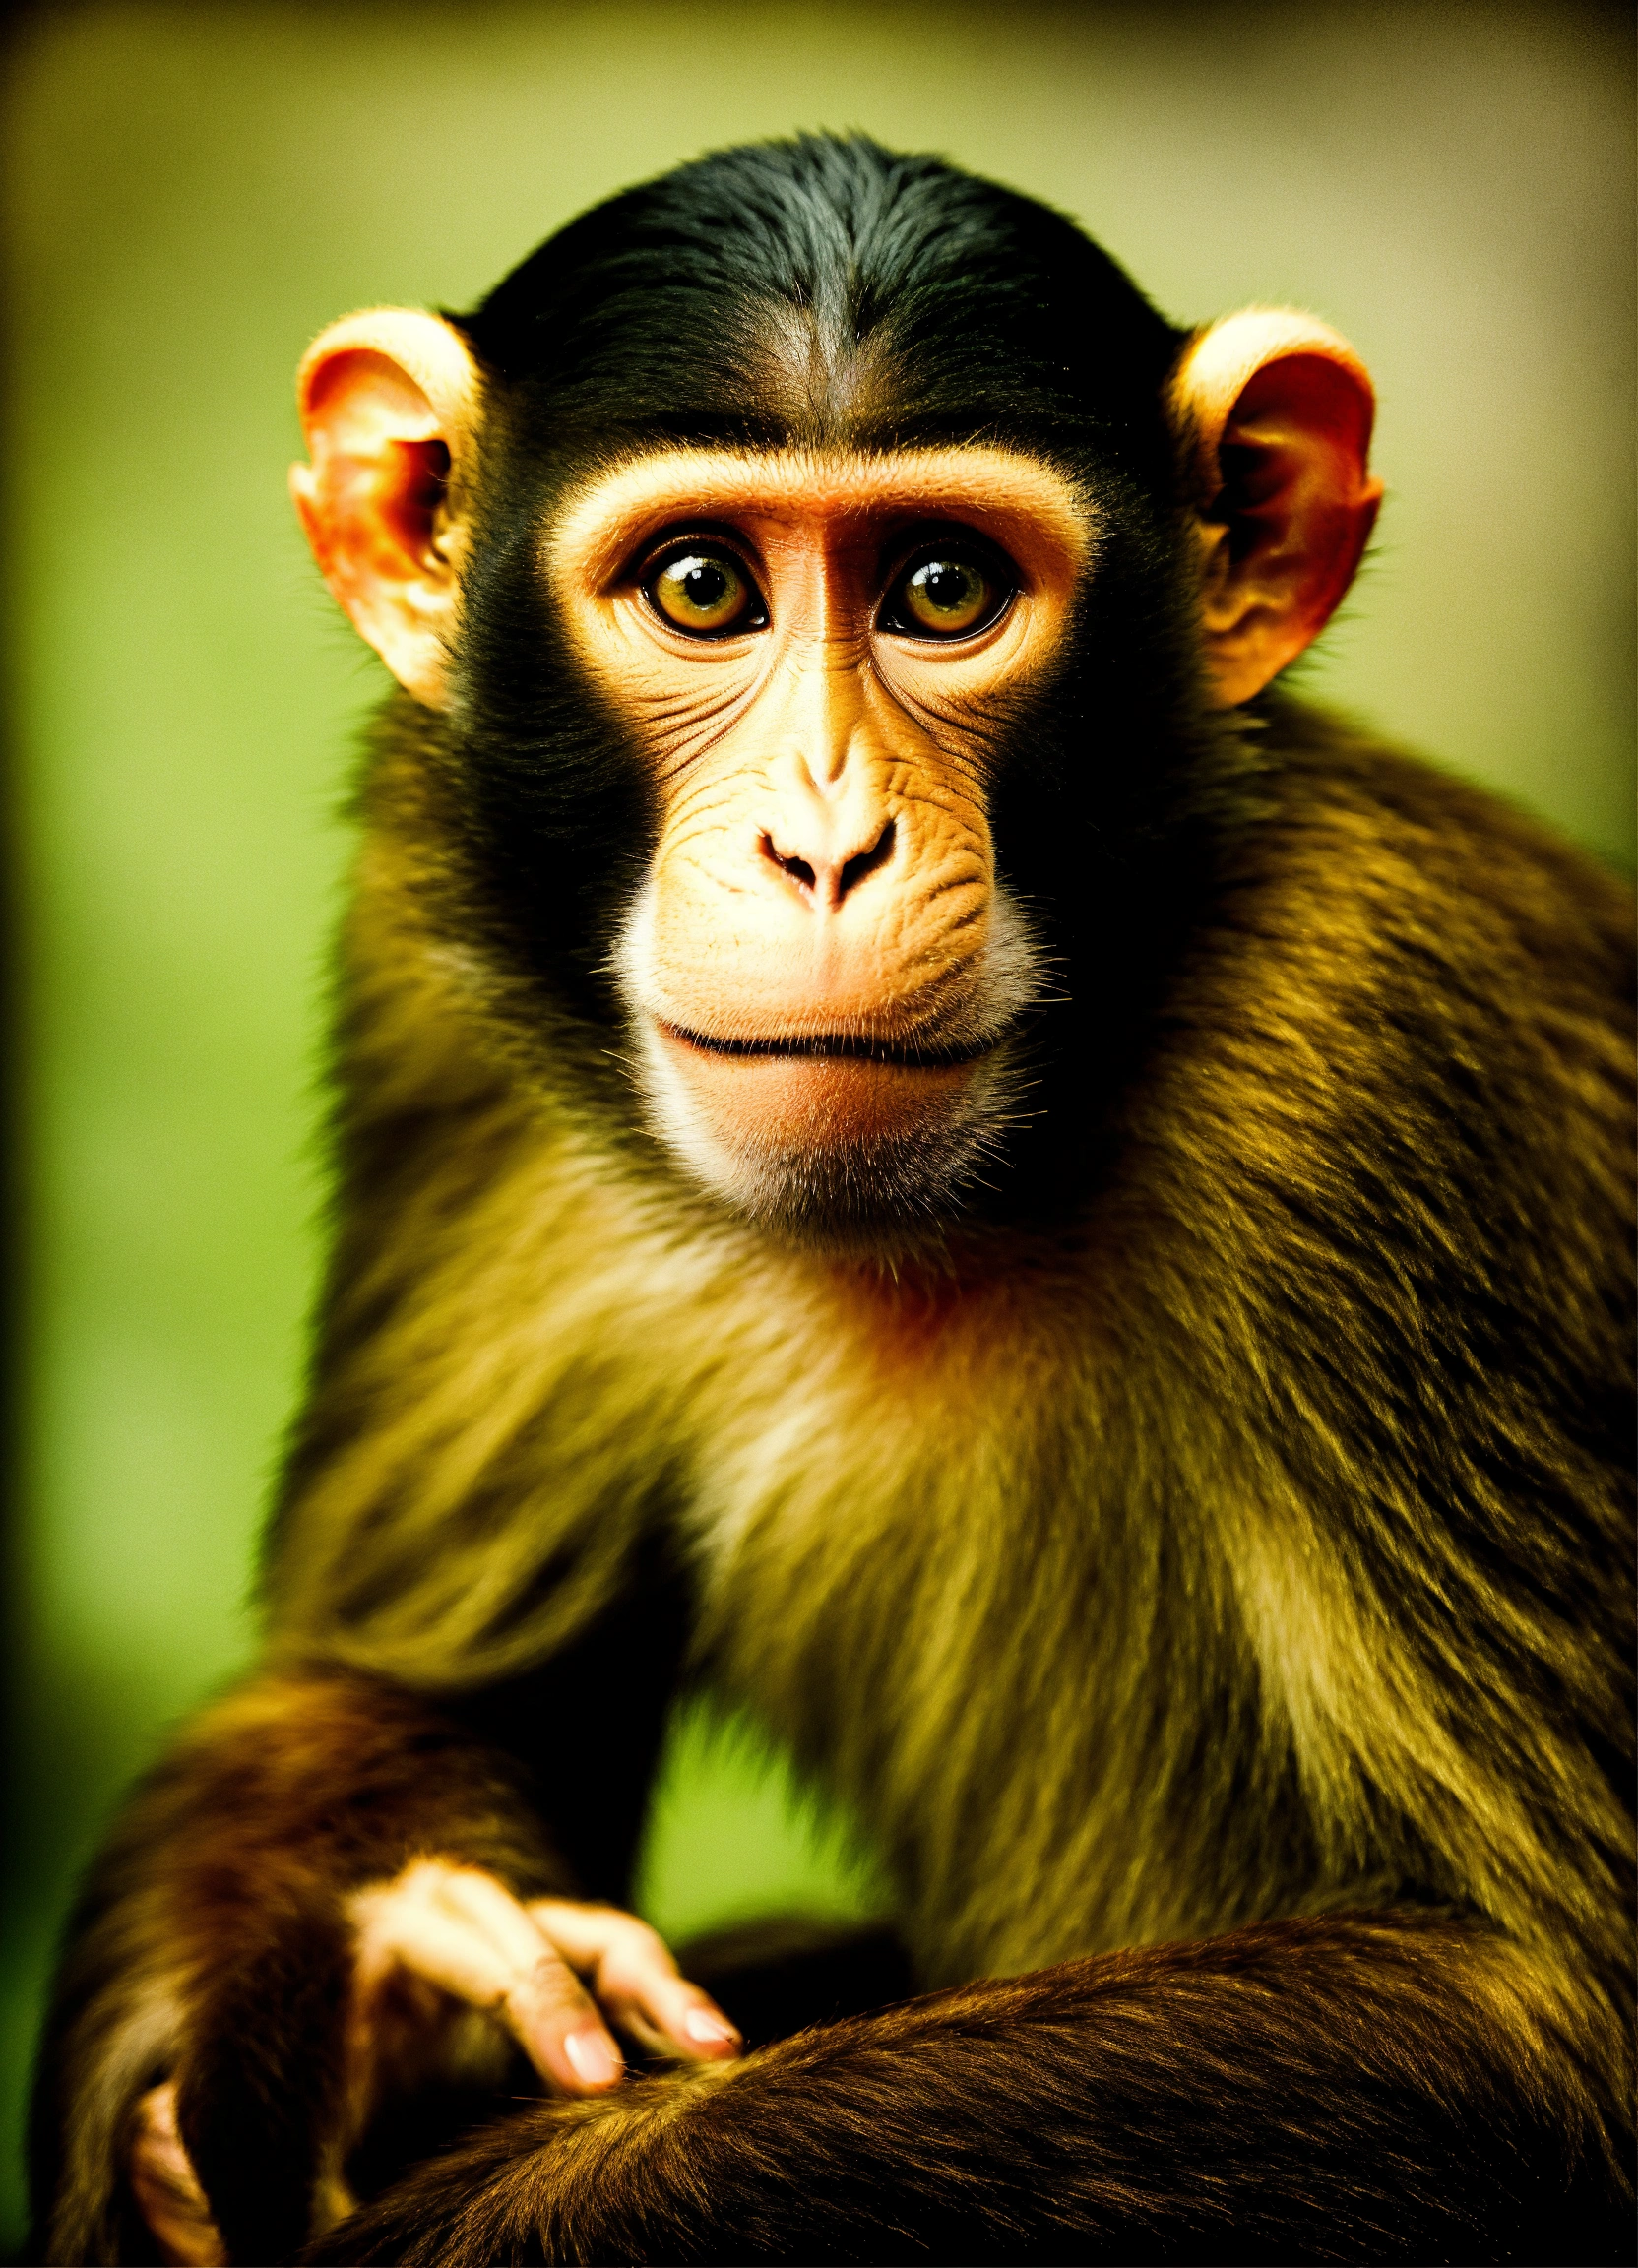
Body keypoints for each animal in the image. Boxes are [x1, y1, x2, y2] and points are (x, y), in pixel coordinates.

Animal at [27, 134, 1634, 2267]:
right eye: (700, 587)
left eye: (945, 590)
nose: (822, 840)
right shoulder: (426, 946)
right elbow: (410, 1685)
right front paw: (332, 2001)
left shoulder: (1383, 1060)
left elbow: (1528, 2022)